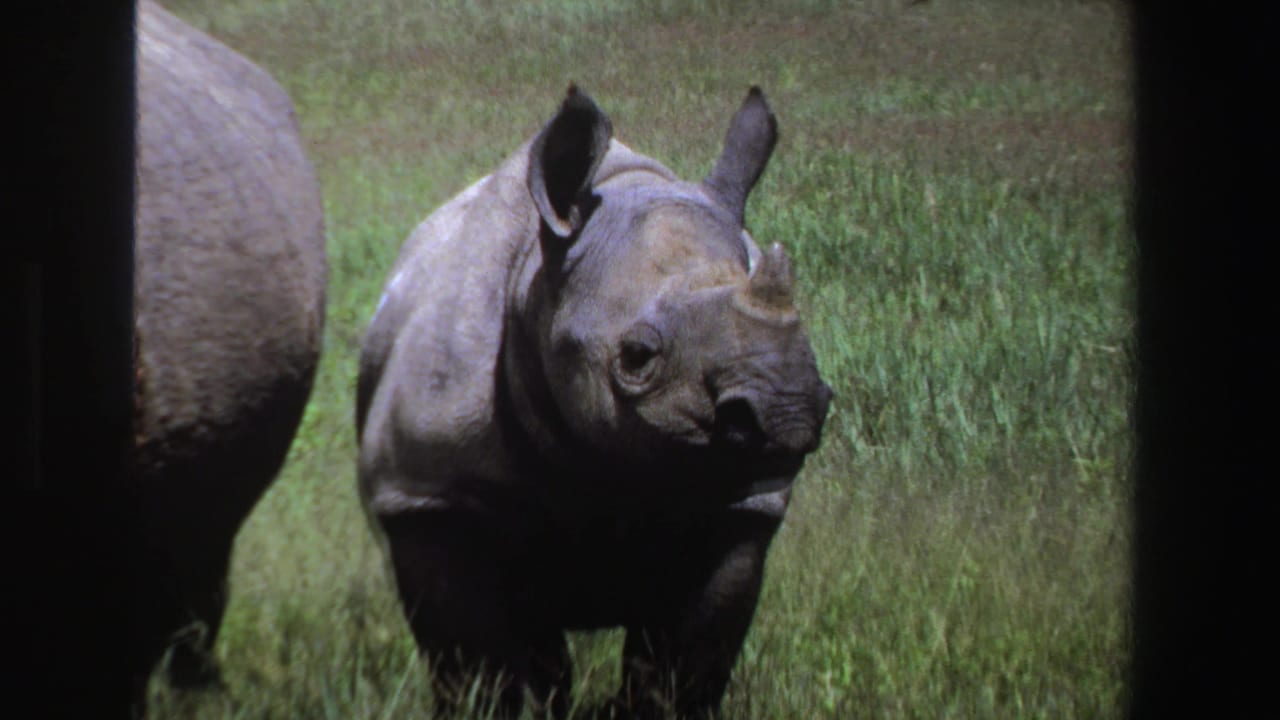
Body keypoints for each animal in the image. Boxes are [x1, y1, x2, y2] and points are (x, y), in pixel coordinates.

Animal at [356, 86, 830, 718]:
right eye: (636, 356)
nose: (785, 409)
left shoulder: (741, 505)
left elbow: (683, 665)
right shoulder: (424, 491)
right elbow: (481, 668)